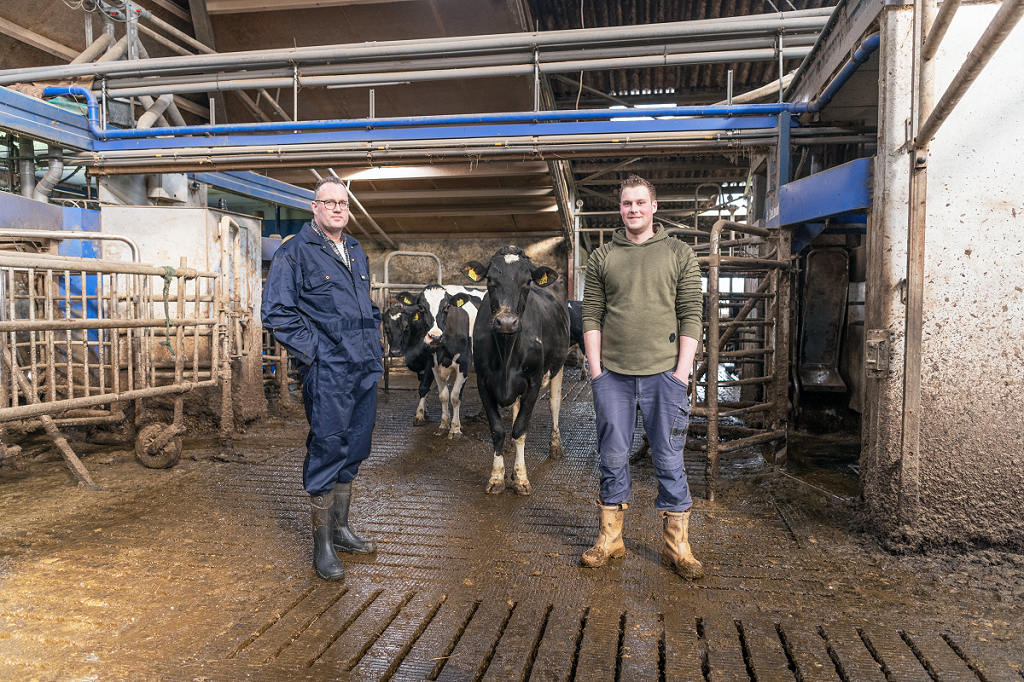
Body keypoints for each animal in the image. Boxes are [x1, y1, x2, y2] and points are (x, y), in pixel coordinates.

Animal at [462, 246, 569, 495]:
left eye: (527, 281)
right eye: (490, 280)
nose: (506, 322)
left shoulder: (533, 382)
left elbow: (521, 428)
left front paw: (520, 478)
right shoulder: (483, 382)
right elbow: (498, 429)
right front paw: (497, 477)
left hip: (558, 365)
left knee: (554, 404)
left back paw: (555, 446)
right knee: (515, 408)